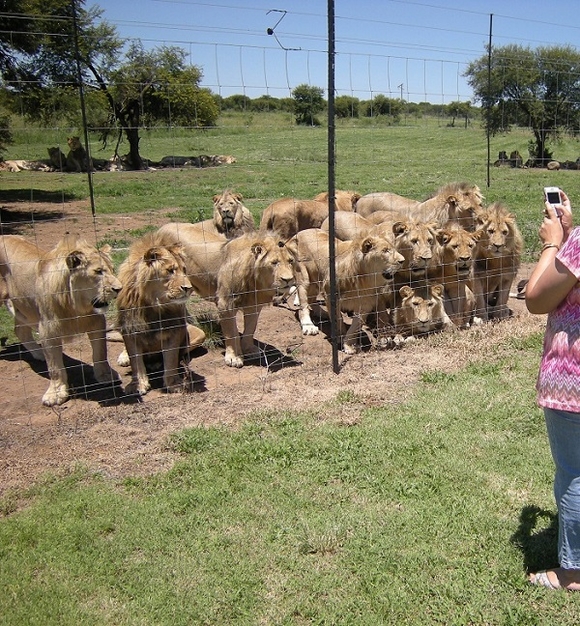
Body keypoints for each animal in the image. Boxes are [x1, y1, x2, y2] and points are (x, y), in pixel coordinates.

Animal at [0, 234, 121, 404]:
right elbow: (55, 366)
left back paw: (39, 354)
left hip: (25, 310)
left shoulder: (97, 322)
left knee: (19, 330)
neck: (74, 306)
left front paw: (105, 375)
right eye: (98, 271)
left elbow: (100, 353)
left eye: (112, 269)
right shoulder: (48, 330)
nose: (119, 289)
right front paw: (56, 393)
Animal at [114, 229, 205, 394]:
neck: (154, 305)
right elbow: (135, 360)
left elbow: (170, 358)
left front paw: (173, 384)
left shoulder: (174, 328)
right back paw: (124, 358)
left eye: (184, 270)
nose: (189, 288)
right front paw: (137, 385)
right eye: (170, 270)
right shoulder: (130, 328)